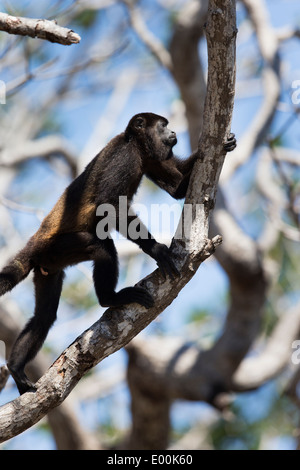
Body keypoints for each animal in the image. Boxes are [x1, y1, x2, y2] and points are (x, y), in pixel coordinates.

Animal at [0, 113, 236, 392]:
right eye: (163, 125)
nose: (174, 132)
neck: (135, 143)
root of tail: (34, 244)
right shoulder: (125, 158)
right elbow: (109, 206)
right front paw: (155, 249)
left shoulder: (150, 158)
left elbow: (177, 188)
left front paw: (219, 145)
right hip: (57, 247)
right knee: (102, 248)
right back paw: (110, 298)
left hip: (49, 265)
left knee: (43, 317)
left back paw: (16, 368)